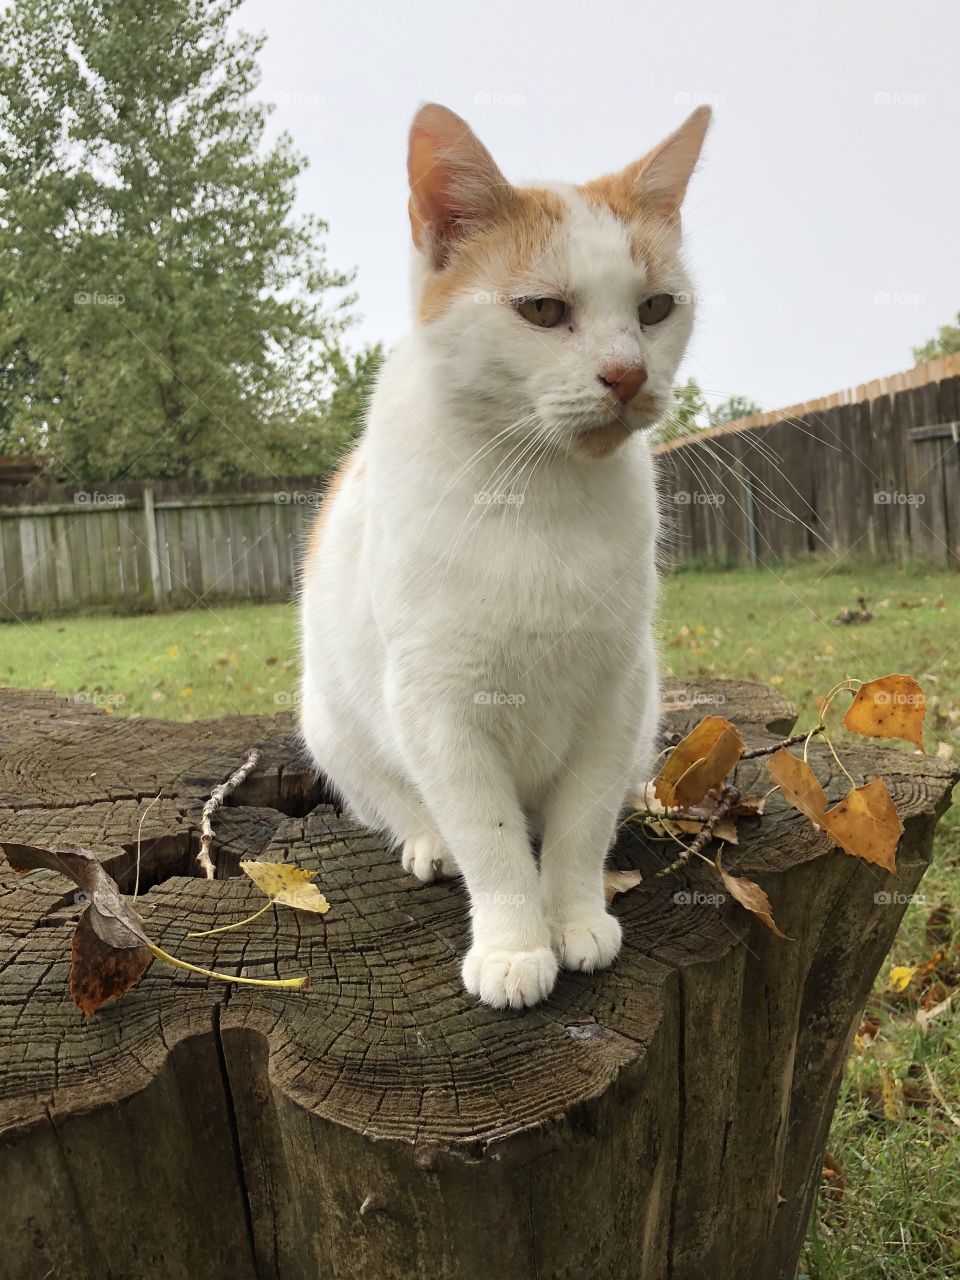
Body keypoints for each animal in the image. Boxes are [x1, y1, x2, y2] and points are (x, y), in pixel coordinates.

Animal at [304, 102, 711, 1008]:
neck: (537, 496)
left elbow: (579, 825)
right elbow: (488, 837)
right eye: (543, 311)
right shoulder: (439, 708)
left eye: (656, 307)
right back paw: (428, 844)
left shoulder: (615, 693)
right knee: (405, 806)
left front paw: (574, 918)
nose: (628, 374)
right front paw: (515, 943)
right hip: (332, 724)